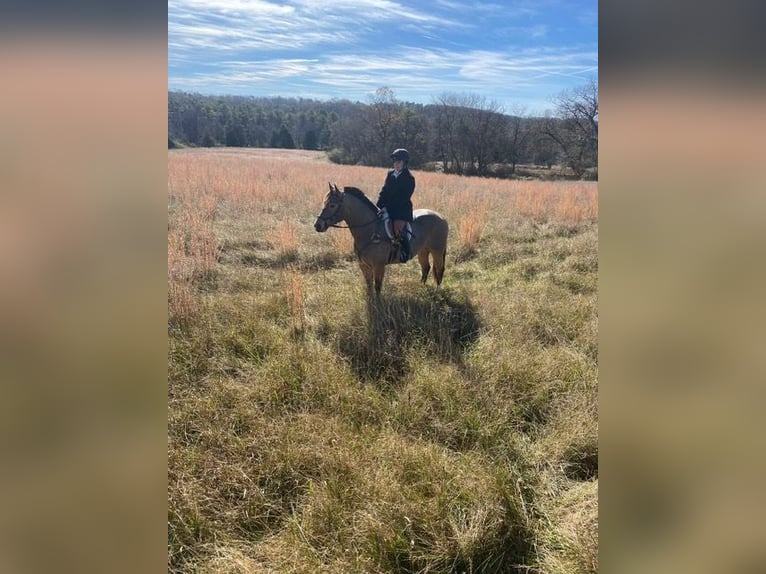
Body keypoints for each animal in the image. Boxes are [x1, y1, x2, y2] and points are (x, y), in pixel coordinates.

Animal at [316, 183, 452, 296]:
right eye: (324, 203)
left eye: (332, 205)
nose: (317, 225)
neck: (370, 231)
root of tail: (441, 217)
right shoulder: (364, 265)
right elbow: (369, 286)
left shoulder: (379, 266)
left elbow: (377, 287)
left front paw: (378, 305)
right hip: (423, 250)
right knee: (426, 268)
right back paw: (421, 286)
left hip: (437, 251)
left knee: (439, 269)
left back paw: (436, 291)